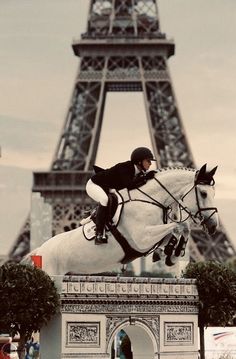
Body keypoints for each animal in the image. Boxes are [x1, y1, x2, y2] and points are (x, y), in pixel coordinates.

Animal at [23, 165, 218, 278]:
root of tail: (40, 250)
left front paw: (170, 253)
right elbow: (177, 226)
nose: (213, 226)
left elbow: (181, 228)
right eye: (203, 193)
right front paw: (172, 252)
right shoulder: (142, 238)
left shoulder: (152, 237)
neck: (151, 199)